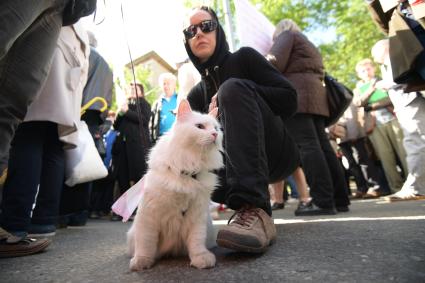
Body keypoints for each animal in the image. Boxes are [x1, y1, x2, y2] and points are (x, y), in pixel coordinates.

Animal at [127, 98, 224, 272]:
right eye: (200, 127)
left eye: (216, 129)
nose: (214, 135)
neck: (189, 170)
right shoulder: (148, 216)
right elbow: (145, 243)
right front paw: (141, 262)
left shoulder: (197, 215)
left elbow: (197, 242)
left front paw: (201, 259)